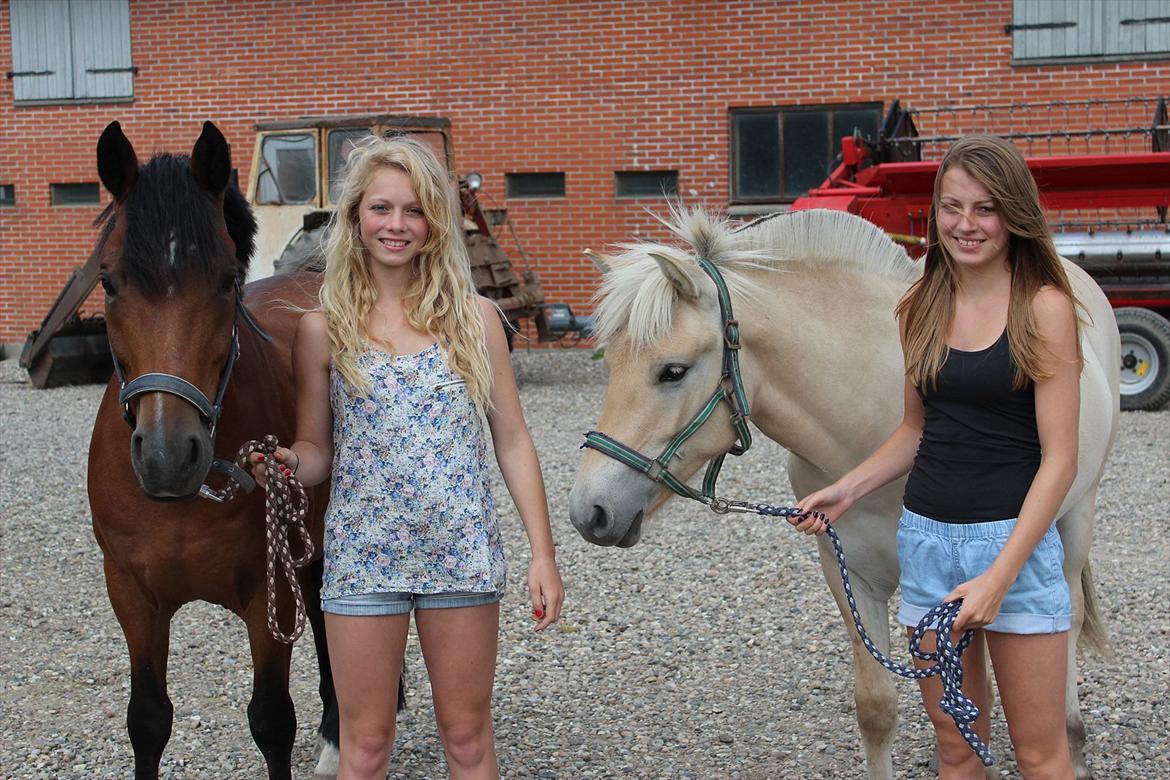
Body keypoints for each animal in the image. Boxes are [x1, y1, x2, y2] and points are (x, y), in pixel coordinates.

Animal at [83, 119, 336, 776]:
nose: (168, 456)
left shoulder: (267, 596)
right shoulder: (132, 597)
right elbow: (147, 721)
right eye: (109, 283)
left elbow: (272, 721)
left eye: (226, 281)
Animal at [570, 206, 1118, 780]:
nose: (591, 511)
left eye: (671, 371)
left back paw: (1073, 741)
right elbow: (877, 709)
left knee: (1068, 617)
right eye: (610, 364)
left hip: (1072, 520)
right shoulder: (849, 571)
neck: (872, 416)